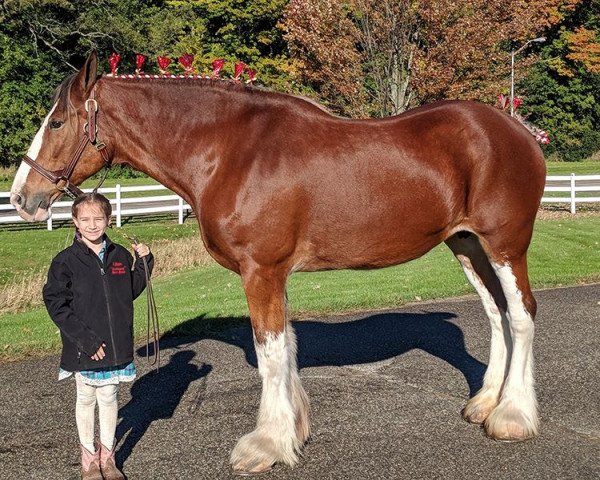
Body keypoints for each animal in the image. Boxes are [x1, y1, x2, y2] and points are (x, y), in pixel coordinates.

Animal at [9, 51, 548, 472]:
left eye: (56, 122)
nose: (21, 197)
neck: (230, 152)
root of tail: (518, 131)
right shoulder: (275, 275)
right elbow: (285, 348)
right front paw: (294, 429)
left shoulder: (261, 271)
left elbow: (269, 355)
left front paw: (265, 446)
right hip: (467, 245)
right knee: (496, 315)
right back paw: (484, 403)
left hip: (505, 246)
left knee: (521, 316)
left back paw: (512, 417)